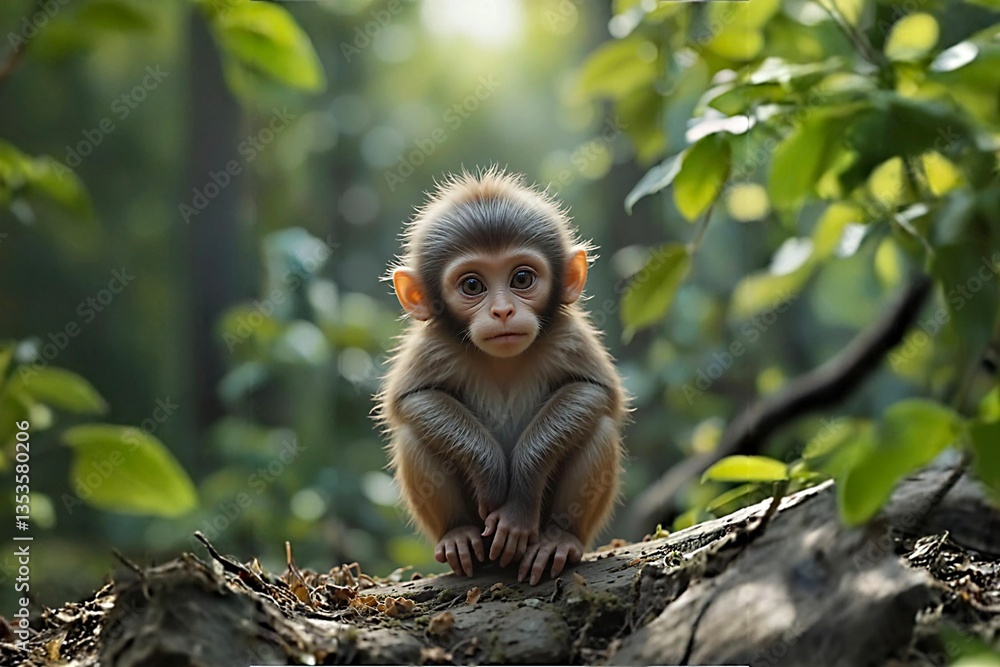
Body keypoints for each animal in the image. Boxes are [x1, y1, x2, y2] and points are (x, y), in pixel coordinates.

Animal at [374, 168, 628, 586]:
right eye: (472, 285)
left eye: (521, 279)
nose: (503, 311)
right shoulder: (435, 344)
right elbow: (413, 398)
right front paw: (492, 477)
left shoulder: (566, 335)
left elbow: (594, 391)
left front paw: (518, 503)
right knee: (413, 434)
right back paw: (458, 534)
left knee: (600, 426)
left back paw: (560, 540)